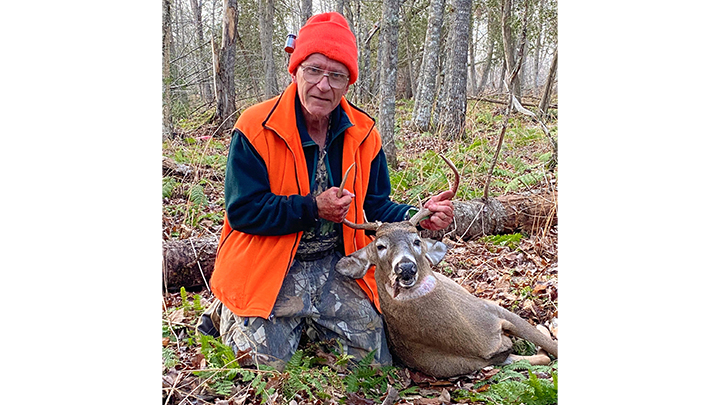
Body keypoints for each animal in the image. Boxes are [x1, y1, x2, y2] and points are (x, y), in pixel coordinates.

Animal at [336, 156, 556, 378]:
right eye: (380, 246)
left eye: (417, 240)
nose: (406, 267)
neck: (478, 343)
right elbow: (546, 354)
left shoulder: (493, 311)